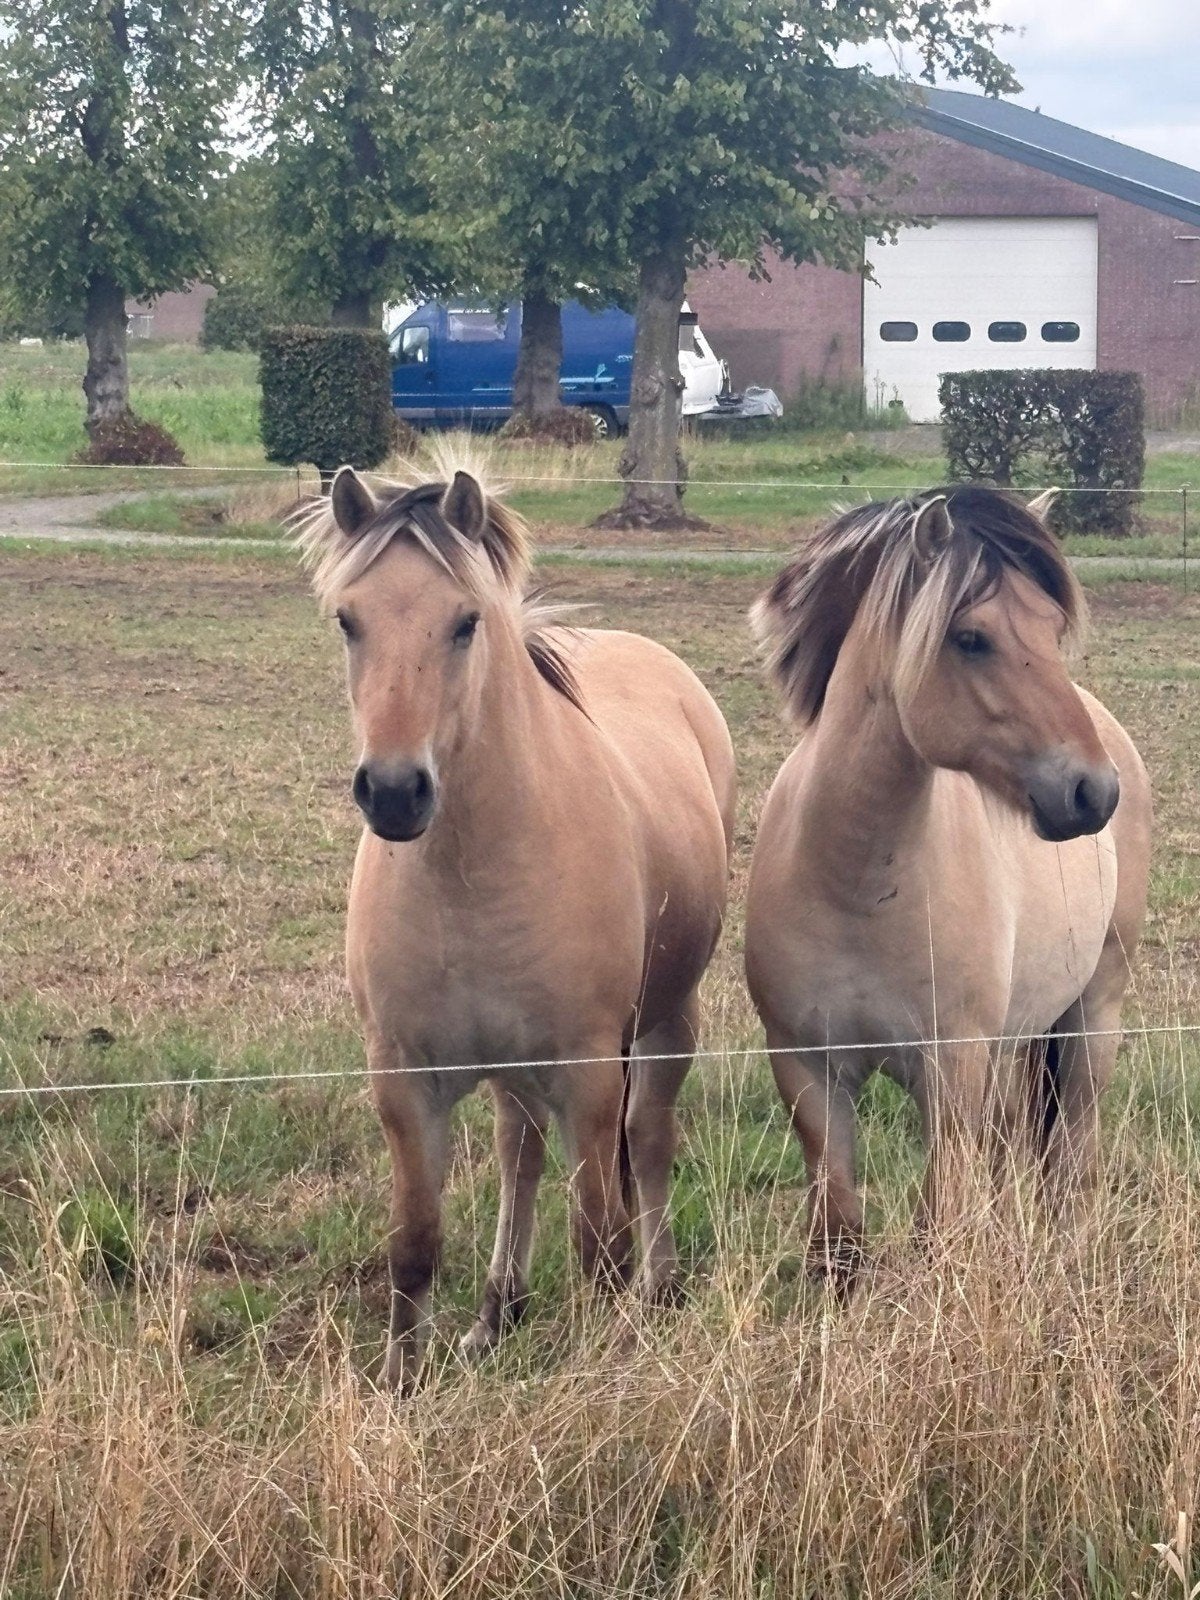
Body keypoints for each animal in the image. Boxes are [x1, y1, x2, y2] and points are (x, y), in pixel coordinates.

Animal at [297, 457, 736, 1389]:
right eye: (348, 620)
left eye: (465, 621)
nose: (395, 793)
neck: (472, 873)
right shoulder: (403, 1079)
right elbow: (415, 1240)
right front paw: (402, 1379)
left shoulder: (589, 1073)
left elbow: (598, 1240)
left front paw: (602, 1365)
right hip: (514, 1069)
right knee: (517, 1151)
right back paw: (499, 1312)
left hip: (667, 1024)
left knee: (648, 1142)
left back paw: (657, 1286)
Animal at [746, 486, 1151, 1289]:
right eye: (970, 638)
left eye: (1052, 627)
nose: (1092, 792)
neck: (856, 887)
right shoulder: (807, 1071)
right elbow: (839, 1234)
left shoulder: (951, 1068)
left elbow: (939, 1224)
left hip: (1093, 1019)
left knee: (1071, 1161)